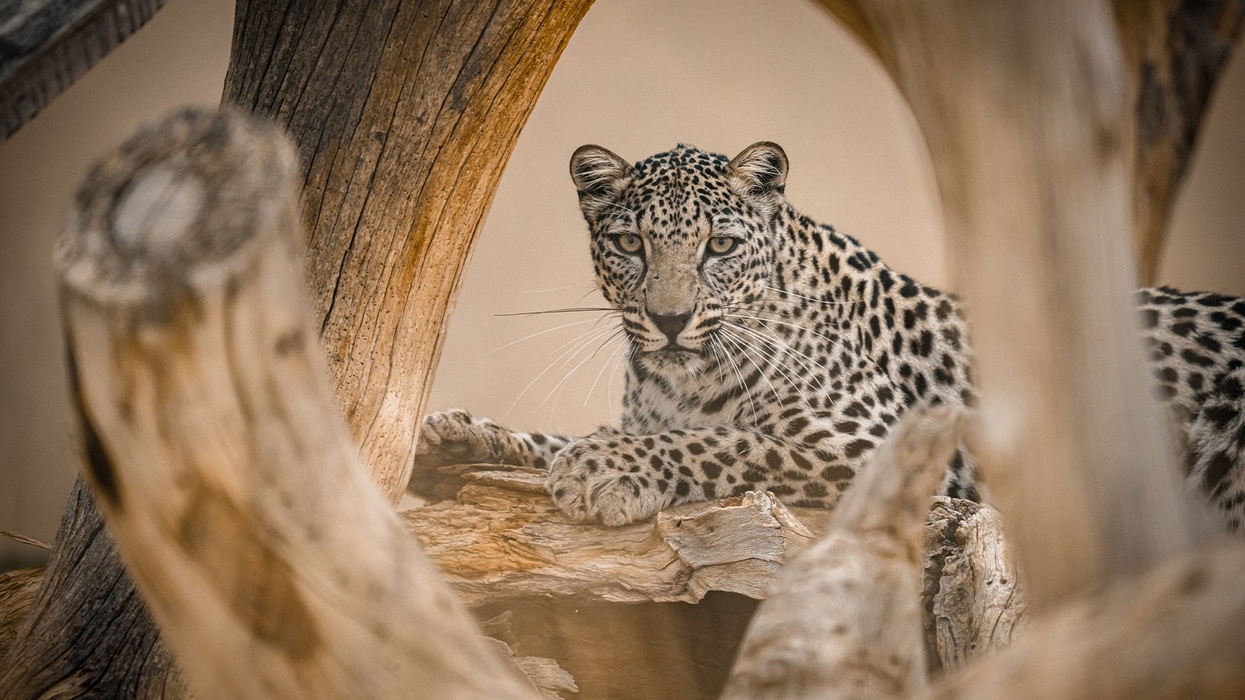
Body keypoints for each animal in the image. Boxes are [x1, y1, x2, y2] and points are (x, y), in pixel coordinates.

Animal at [412, 141, 1245, 531]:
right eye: (629, 244)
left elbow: (726, 443)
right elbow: (566, 434)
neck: (683, 374)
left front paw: (606, 470)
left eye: (718, 246)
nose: (671, 320)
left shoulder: (882, 450)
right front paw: (455, 435)